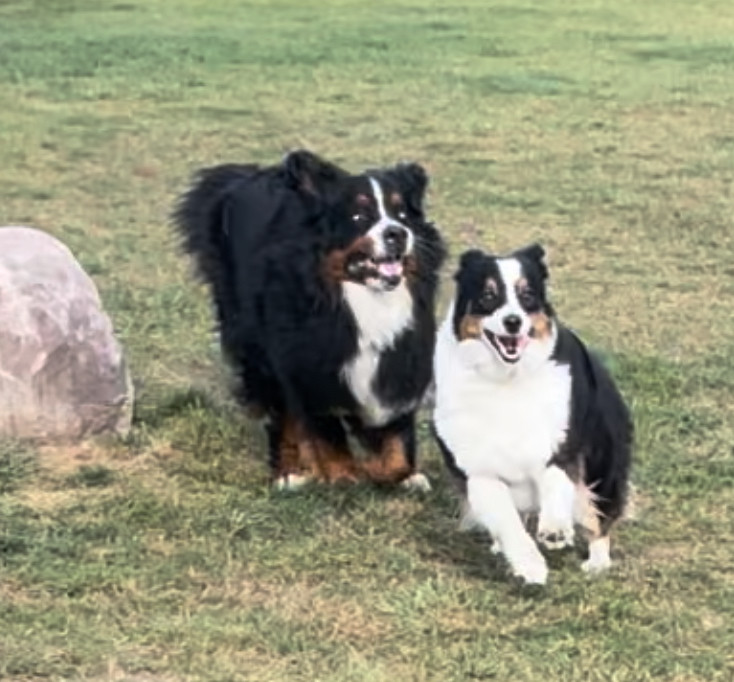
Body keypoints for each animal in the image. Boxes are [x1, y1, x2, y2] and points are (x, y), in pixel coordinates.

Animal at [175, 149, 446, 488]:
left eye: (402, 215)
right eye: (359, 217)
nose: (396, 233)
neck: (361, 299)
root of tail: (242, 176)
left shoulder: (399, 358)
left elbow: (396, 440)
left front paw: (400, 475)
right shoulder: (307, 362)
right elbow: (327, 433)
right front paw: (343, 474)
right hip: (256, 342)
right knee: (281, 413)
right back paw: (289, 472)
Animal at [434, 244, 636, 584]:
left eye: (527, 295)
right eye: (488, 295)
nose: (513, 321)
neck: (507, 378)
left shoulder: (561, 442)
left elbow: (555, 478)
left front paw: (554, 530)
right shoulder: (478, 468)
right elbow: (507, 520)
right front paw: (529, 565)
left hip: (602, 461)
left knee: (598, 514)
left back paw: (597, 562)